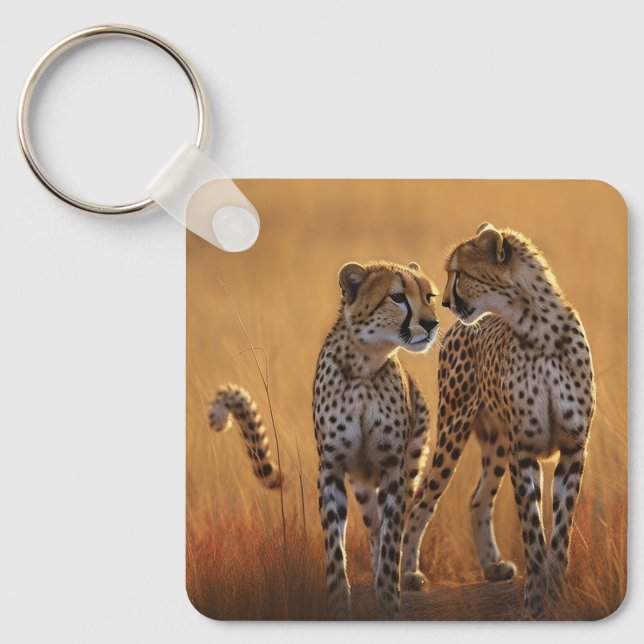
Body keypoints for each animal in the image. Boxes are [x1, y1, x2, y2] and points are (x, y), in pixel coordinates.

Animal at [313, 260, 440, 619]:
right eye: (397, 297)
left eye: (429, 296)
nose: (432, 323)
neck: (365, 366)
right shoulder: (331, 469)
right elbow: (334, 544)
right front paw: (338, 601)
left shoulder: (392, 470)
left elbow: (392, 538)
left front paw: (388, 597)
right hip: (361, 484)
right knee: (372, 526)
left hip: (411, 466)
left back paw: (407, 573)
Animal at [401, 223, 595, 618]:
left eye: (459, 273)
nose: (444, 304)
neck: (539, 330)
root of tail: (457, 330)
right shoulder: (525, 451)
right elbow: (532, 529)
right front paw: (536, 596)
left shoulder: (572, 449)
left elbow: (561, 529)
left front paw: (557, 591)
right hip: (455, 427)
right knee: (423, 500)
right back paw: (410, 574)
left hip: (498, 444)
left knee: (478, 499)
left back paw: (492, 566)